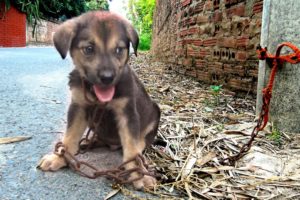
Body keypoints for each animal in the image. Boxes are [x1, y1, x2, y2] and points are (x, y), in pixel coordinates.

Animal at [38, 11, 161, 190]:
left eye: (119, 49)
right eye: (89, 49)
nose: (107, 78)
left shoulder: (127, 113)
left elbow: (131, 148)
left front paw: (140, 174)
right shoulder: (78, 107)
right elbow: (69, 137)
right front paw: (60, 158)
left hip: (155, 112)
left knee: (141, 142)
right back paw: (89, 142)